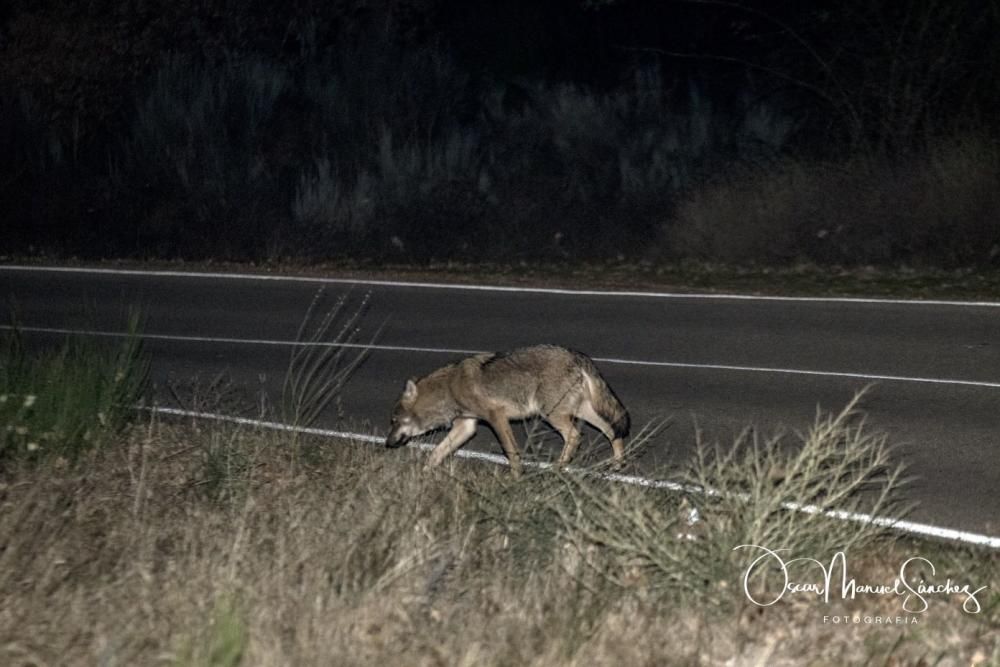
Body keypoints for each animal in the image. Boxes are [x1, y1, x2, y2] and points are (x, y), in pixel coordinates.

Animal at [386, 344, 628, 474]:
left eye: (394, 421)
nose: (387, 443)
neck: (448, 388)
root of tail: (577, 355)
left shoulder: (496, 417)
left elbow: (511, 452)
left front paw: (516, 478)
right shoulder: (466, 426)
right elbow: (436, 454)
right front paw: (423, 474)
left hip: (551, 414)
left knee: (576, 436)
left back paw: (557, 469)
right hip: (579, 412)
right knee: (611, 431)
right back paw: (617, 465)